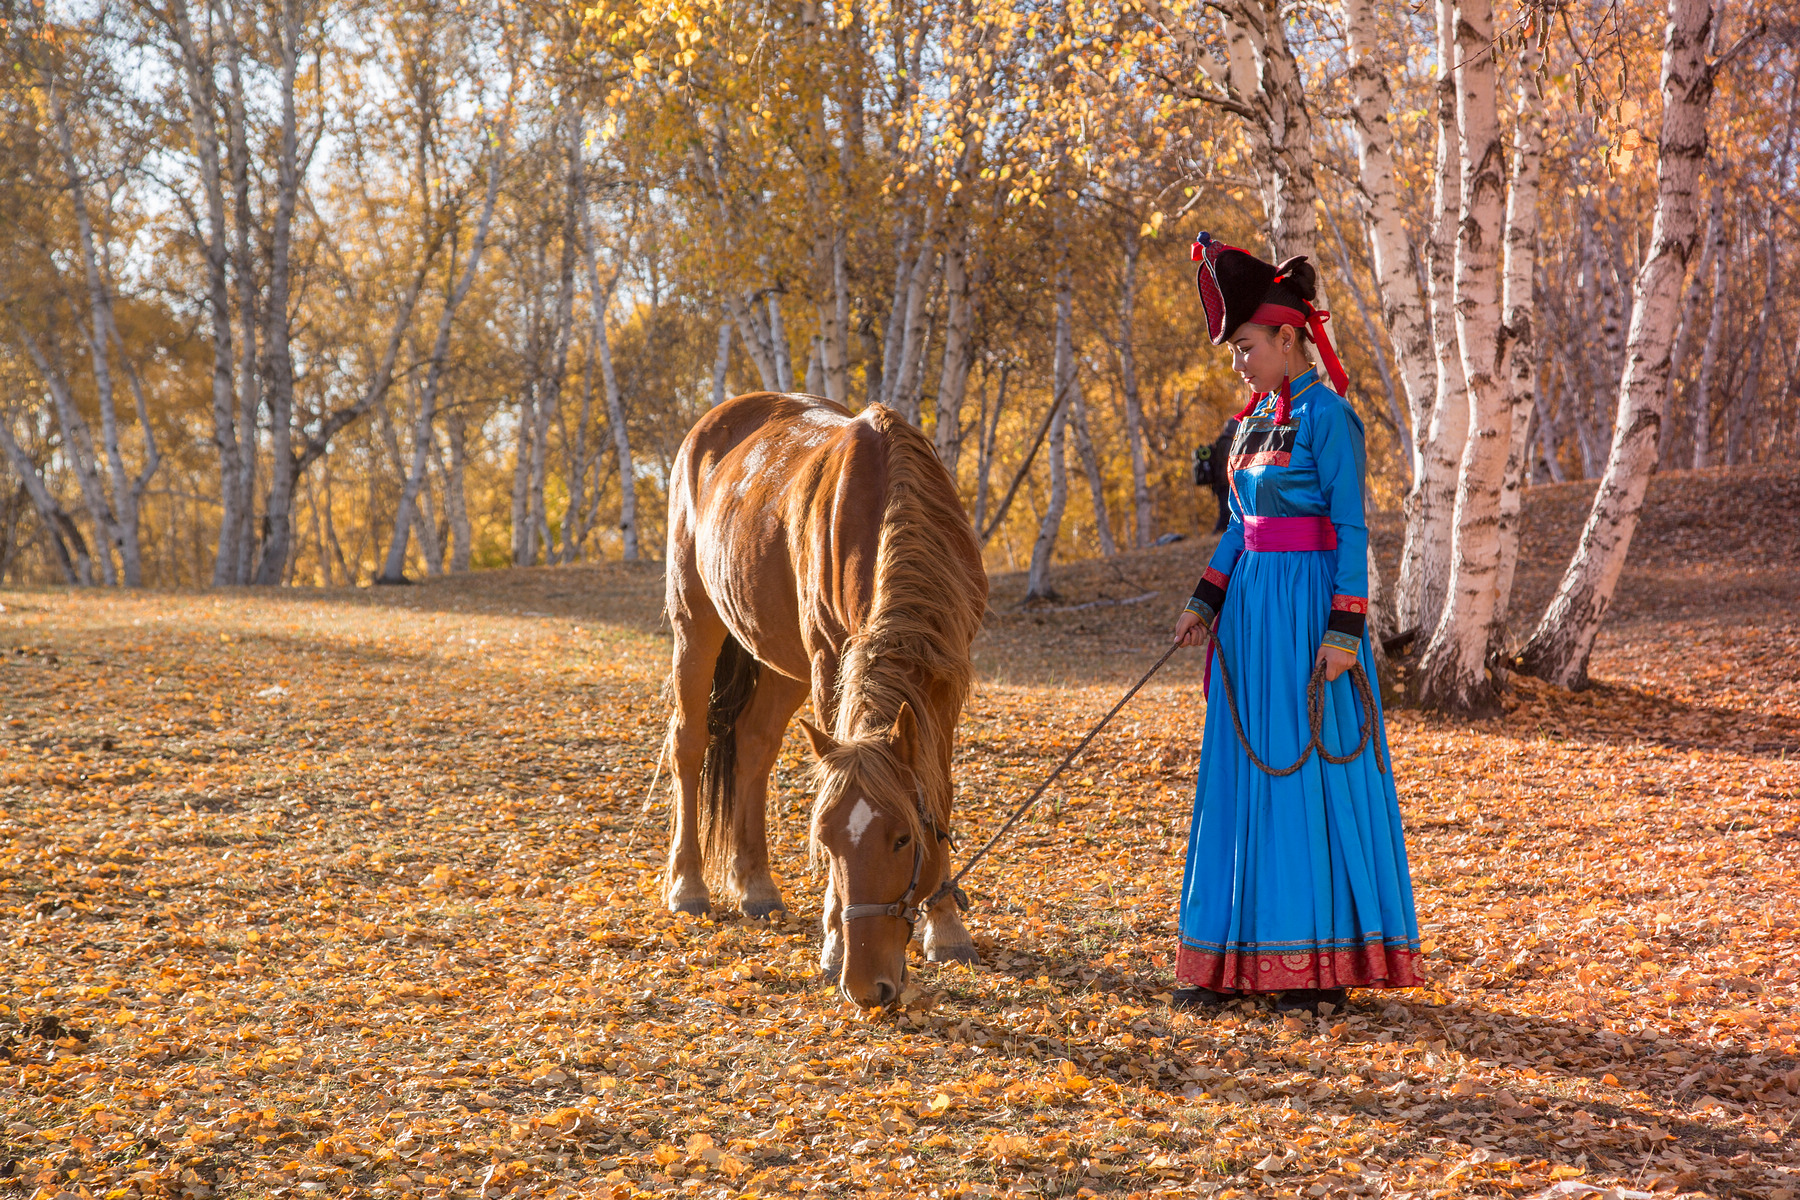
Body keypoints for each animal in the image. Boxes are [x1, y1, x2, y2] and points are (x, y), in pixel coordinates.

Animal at [669, 392, 993, 1007]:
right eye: (825, 840)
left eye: (901, 838)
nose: (867, 986)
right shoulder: (828, 658)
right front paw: (835, 943)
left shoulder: (945, 676)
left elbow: (938, 790)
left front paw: (946, 929)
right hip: (696, 625)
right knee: (689, 744)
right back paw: (687, 886)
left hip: (781, 660)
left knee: (754, 745)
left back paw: (756, 886)